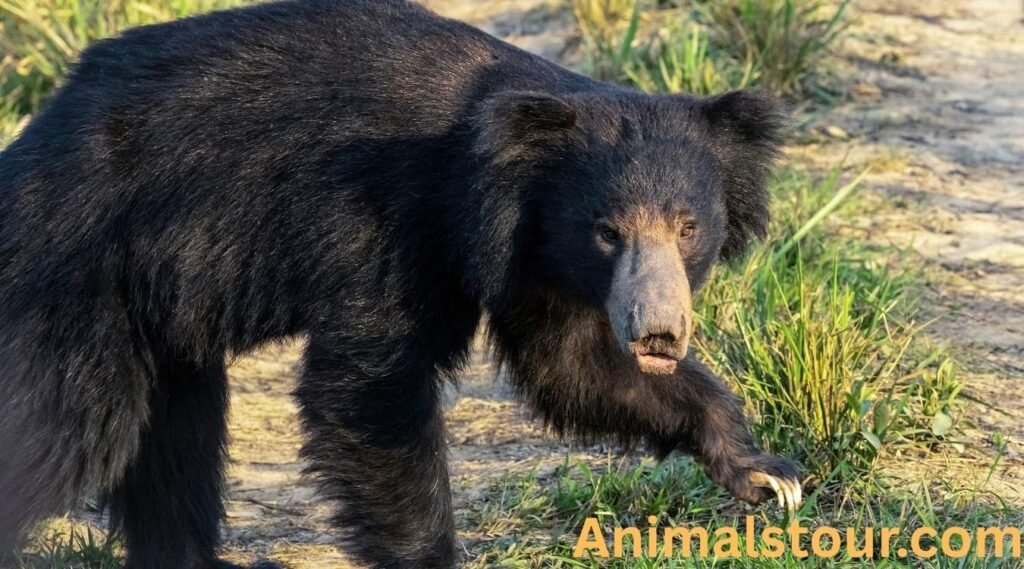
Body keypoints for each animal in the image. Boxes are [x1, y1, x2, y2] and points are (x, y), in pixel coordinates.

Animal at [0, 0, 802, 567]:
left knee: (175, 432)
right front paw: (430, 555)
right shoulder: (395, 216)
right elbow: (372, 385)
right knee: (64, 425)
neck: (495, 175)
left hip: (154, 314)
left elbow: (574, 367)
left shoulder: (533, 258)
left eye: (688, 228)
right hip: (77, 277)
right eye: (608, 231)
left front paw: (766, 474)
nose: (660, 331)